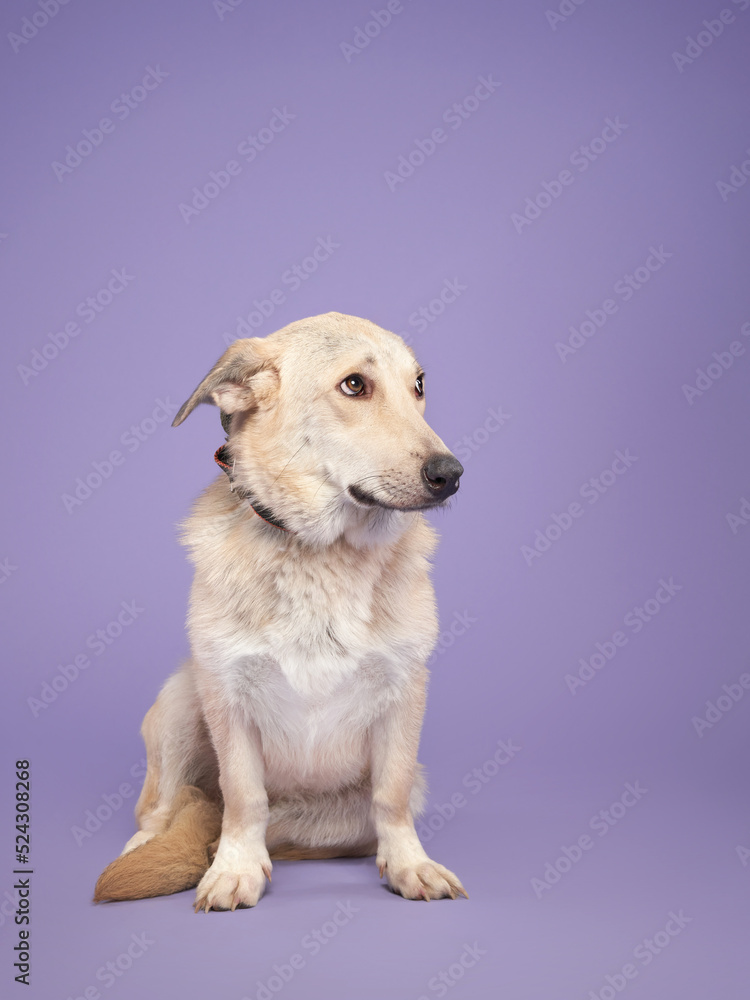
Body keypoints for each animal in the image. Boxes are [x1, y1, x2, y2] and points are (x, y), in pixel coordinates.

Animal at [92, 310, 470, 908]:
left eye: (418, 386)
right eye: (354, 385)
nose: (451, 475)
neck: (322, 553)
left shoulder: (404, 692)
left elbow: (391, 795)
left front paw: (410, 864)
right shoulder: (227, 692)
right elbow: (244, 796)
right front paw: (235, 868)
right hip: (179, 699)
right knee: (164, 808)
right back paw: (150, 844)